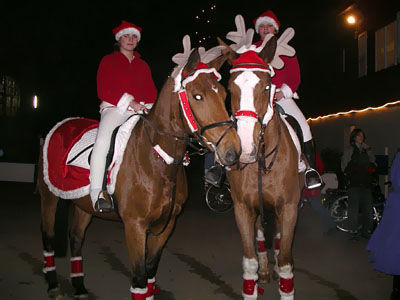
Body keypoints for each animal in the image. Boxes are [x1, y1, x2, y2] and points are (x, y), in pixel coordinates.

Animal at [36, 46, 241, 298]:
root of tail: (59, 126)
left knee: (75, 239)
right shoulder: (135, 226)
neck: (156, 160)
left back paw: (79, 286)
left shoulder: (165, 225)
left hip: (83, 206)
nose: (232, 151)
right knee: (48, 238)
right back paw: (53, 284)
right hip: (49, 198)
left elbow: (150, 271)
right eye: (197, 96)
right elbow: (139, 278)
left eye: (223, 95)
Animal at [219, 17, 304, 300]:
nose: (244, 148)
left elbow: (287, 263)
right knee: (260, 239)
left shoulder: (288, 208)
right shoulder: (243, 209)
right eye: (229, 88)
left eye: (267, 86)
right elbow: (250, 263)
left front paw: (282, 274)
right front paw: (257, 277)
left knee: (276, 239)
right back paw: (267, 268)